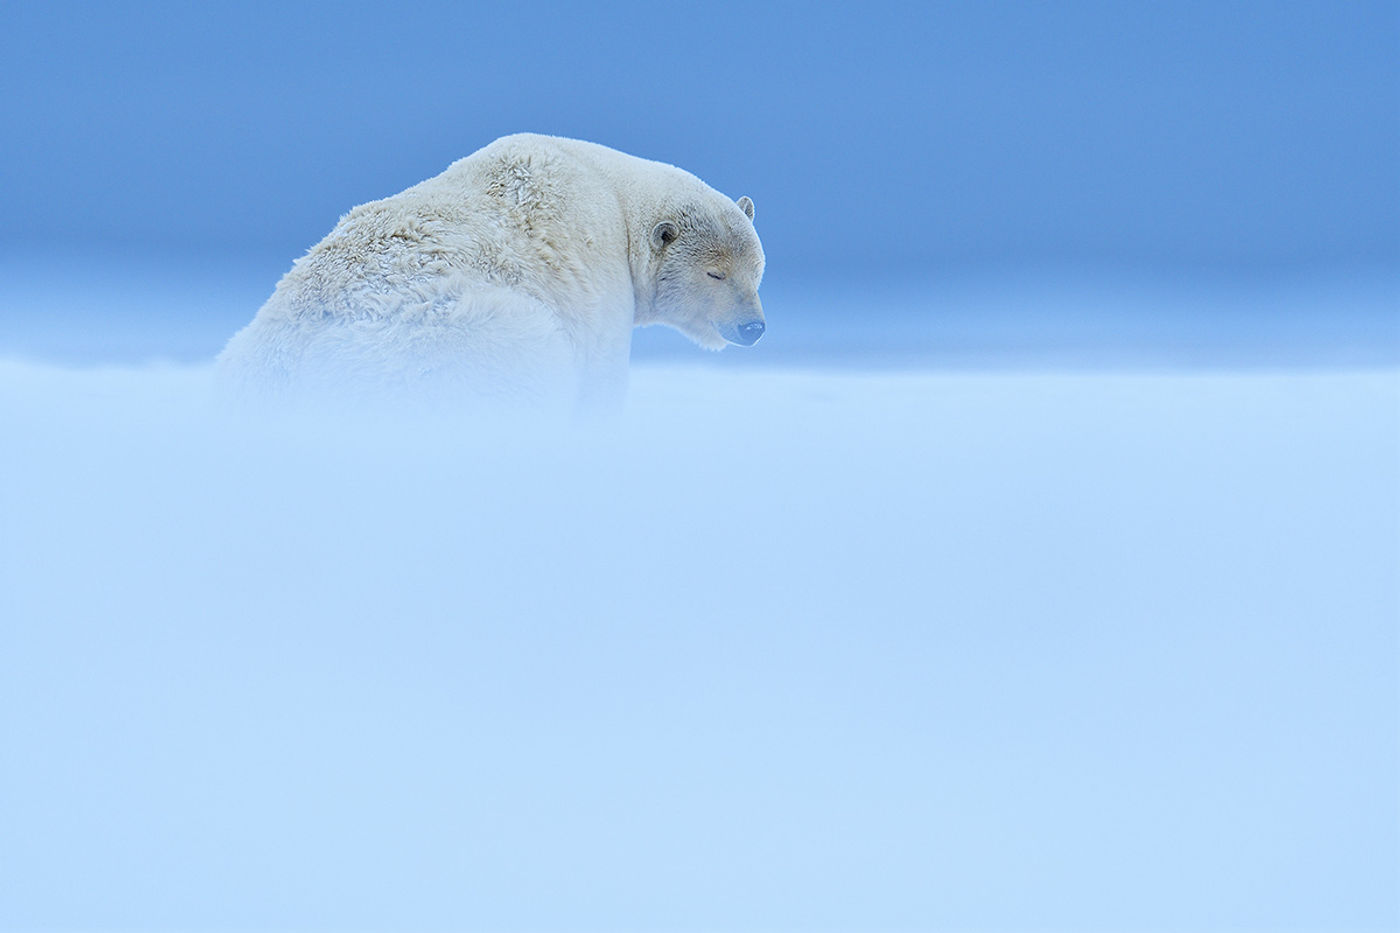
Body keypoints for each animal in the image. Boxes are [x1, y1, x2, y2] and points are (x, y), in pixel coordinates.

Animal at [214, 134, 772, 406]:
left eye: (757, 269)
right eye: (716, 274)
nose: (753, 327)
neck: (611, 195)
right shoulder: (601, 285)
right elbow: (600, 377)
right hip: (449, 338)